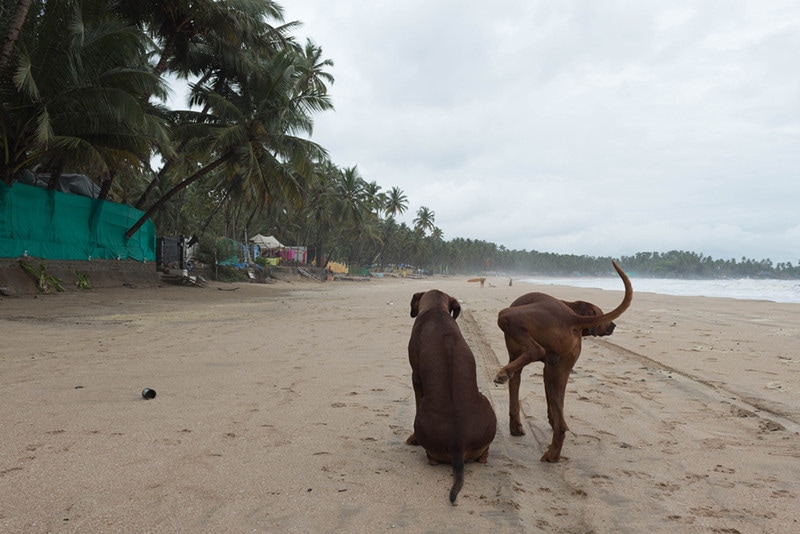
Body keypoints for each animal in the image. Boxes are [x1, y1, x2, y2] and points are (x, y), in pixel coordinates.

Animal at [410, 292, 496, 504]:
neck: (436, 310)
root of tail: (458, 443)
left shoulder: (415, 376)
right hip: (486, 407)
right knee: (484, 455)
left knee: (432, 459)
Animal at [494, 264, 632, 464]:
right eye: (600, 313)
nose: (613, 325)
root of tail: (571, 317)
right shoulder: (549, 369)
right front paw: (521, 426)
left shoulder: (519, 360)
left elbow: (515, 399)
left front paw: (516, 427)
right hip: (556, 375)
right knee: (562, 425)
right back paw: (553, 455)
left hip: (507, 315)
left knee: (536, 350)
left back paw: (504, 372)